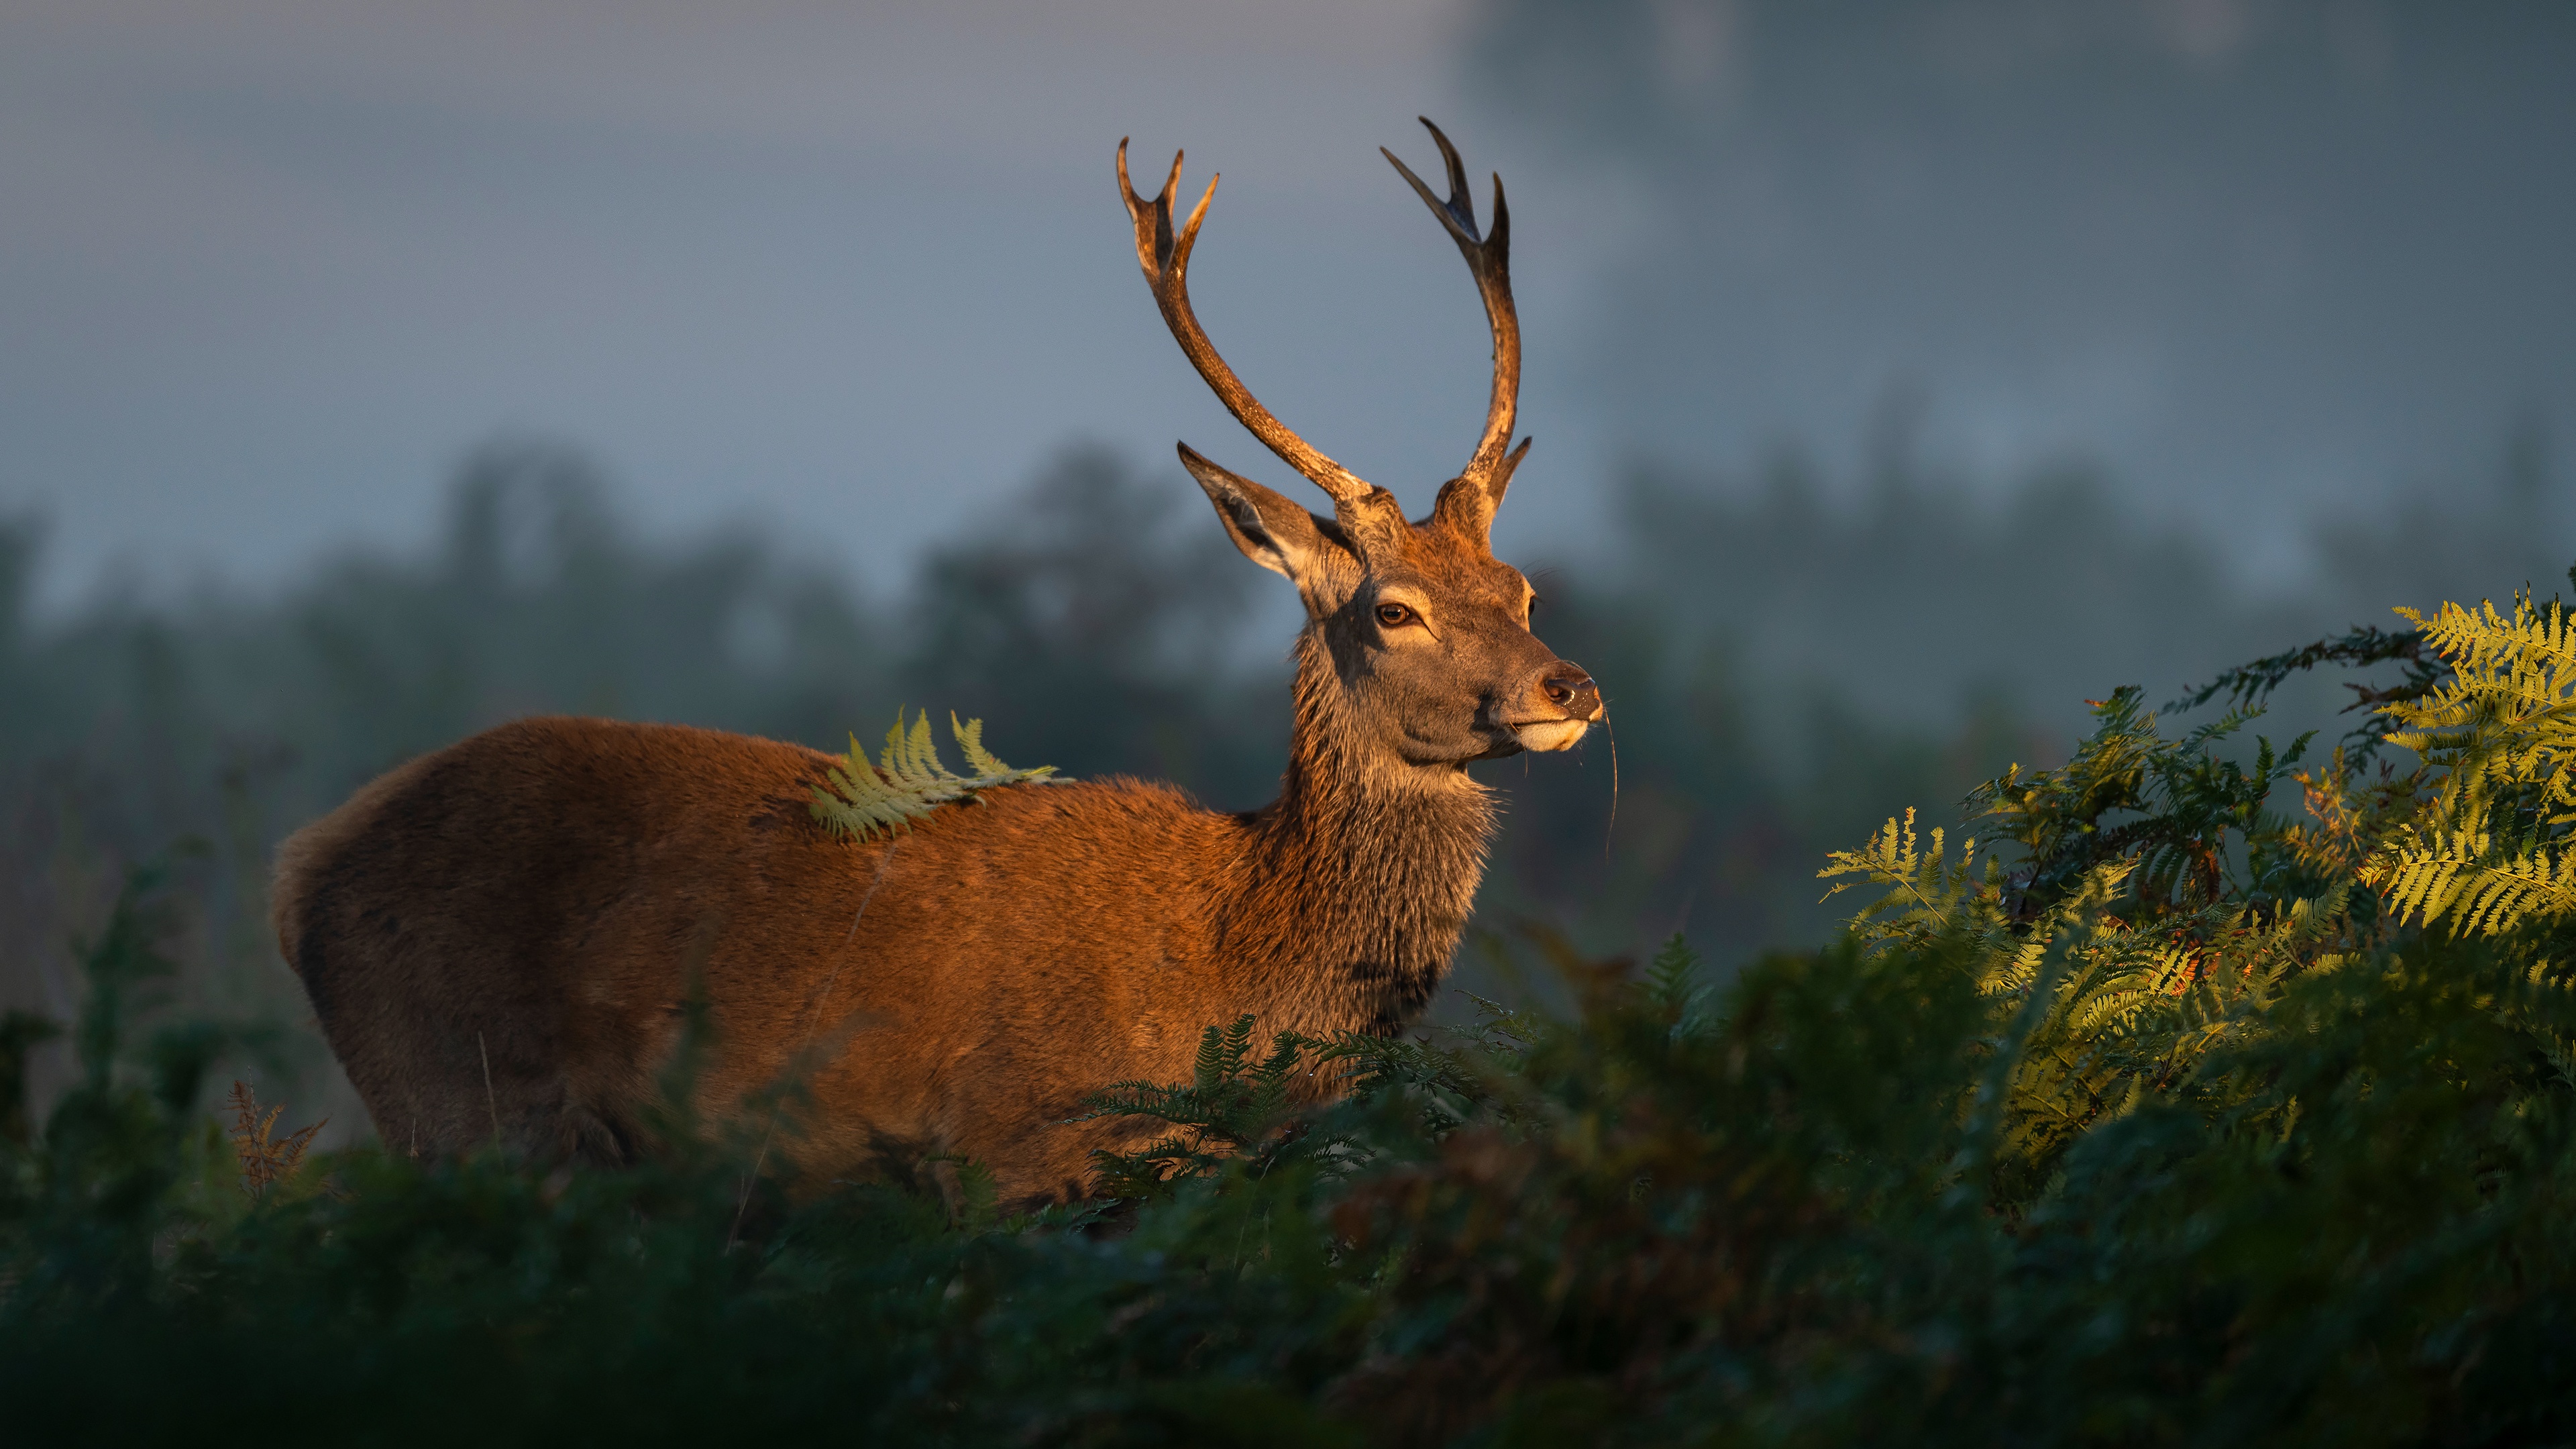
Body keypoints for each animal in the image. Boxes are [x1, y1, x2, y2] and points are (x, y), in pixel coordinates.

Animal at [266, 121, 1587, 1206]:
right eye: (1395, 609)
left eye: (1523, 589)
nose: (1566, 686)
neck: (1234, 978)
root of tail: (299, 869)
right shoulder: (1014, 1148)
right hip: (457, 1099)